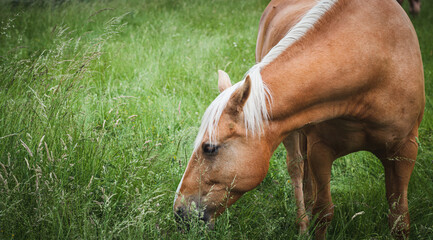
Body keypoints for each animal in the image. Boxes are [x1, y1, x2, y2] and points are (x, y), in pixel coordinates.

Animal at [171, 0, 422, 238]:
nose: (179, 212)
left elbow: (399, 218)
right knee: (298, 170)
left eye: (209, 148)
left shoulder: (405, 150)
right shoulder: (321, 150)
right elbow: (324, 210)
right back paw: (302, 225)